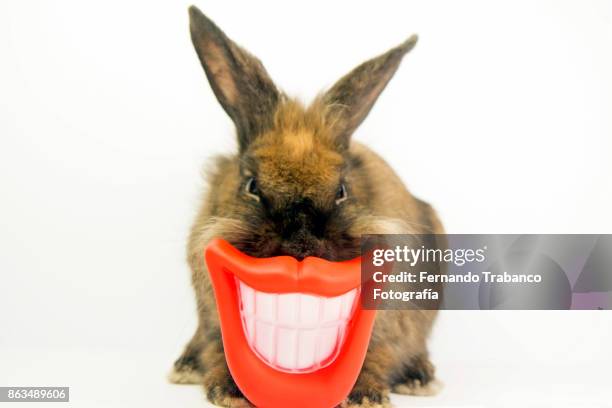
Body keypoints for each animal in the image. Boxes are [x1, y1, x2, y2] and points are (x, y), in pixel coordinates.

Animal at [169, 6, 444, 408]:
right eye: (252, 186)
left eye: (342, 190)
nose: (300, 244)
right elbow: (219, 348)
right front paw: (229, 391)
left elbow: (377, 353)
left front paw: (365, 396)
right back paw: (185, 366)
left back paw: (420, 378)